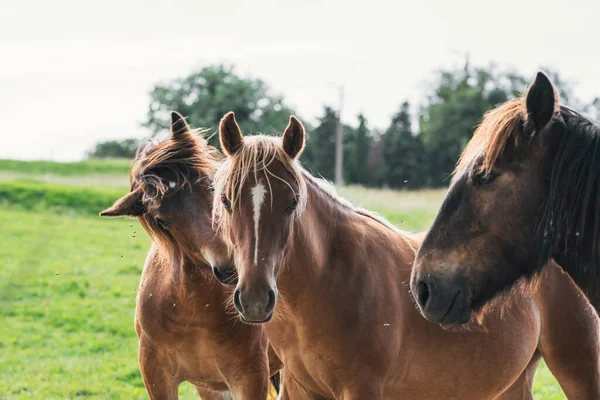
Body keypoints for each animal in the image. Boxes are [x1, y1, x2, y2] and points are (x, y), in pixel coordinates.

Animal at [99, 112, 282, 400]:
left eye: (211, 187)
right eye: (162, 221)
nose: (230, 267)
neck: (195, 312)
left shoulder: (250, 377)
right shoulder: (161, 378)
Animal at [211, 111, 600, 400]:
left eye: (292, 202)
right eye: (227, 201)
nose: (255, 298)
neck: (328, 282)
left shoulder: (362, 389)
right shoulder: (298, 389)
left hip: (580, 368)